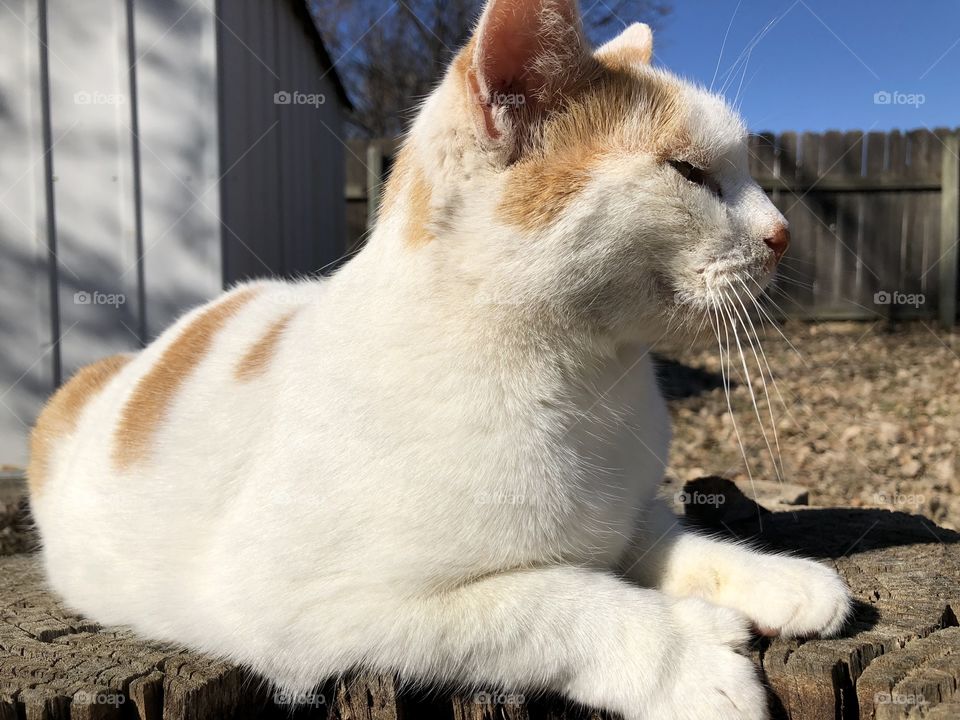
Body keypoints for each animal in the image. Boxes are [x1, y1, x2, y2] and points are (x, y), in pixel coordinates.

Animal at [30, 1, 852, 720]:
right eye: (689, 172)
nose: (782, 235)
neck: (589, 379)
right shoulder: (306, 607)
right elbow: (557, 602)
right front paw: (689, 656)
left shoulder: (623, 510)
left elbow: (667, 539)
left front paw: (772, 578)